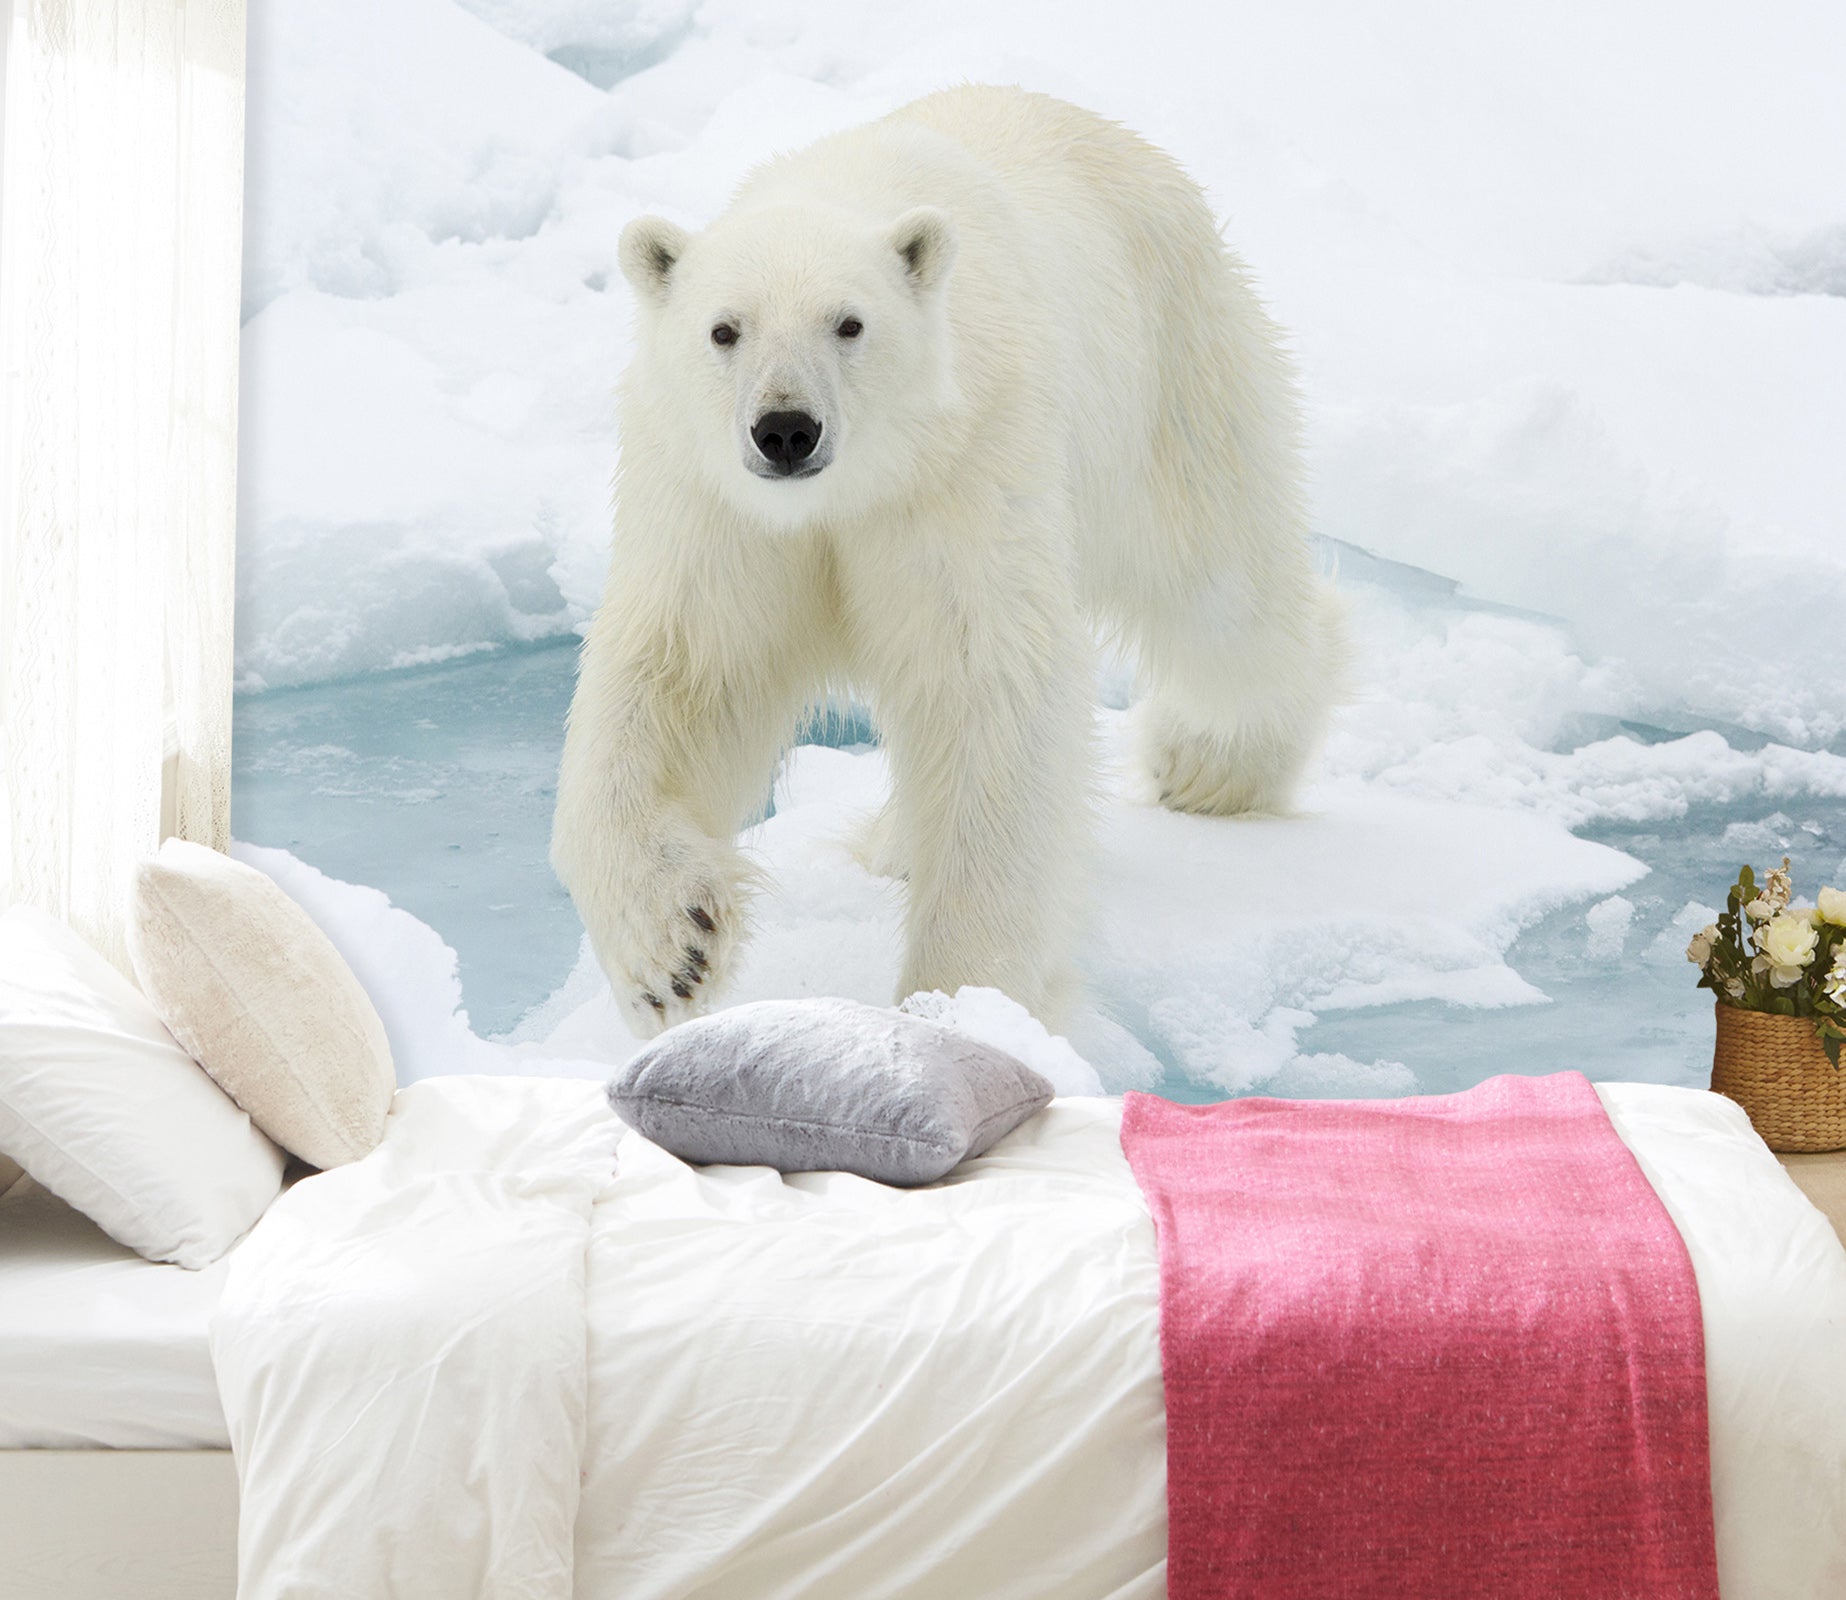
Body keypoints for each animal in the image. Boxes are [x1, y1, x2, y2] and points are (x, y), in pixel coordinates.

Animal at [552, 84, 1345, 1036]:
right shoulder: (718, 508)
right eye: (723, 330)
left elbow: (985, 686)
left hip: (1174, 371)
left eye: (850, 323)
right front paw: (672, 950)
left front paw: (961, 1001)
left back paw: (1208, 764)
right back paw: (897, 840)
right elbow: (680, 673)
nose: (785, 429)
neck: (848, 492)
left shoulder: (962, 465)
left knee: (1221, 588)